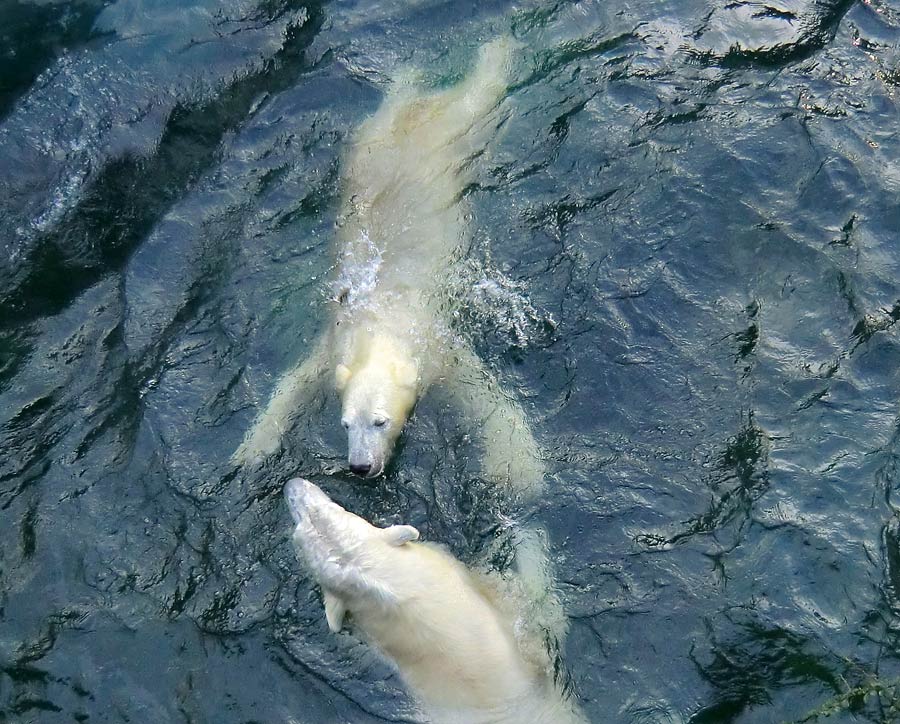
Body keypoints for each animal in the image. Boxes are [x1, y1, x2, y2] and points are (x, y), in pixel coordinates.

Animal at [232, 36, 544, 494]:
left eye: (379, 421)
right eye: (346, 424)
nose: (360, 466)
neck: (379, 319)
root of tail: (420, 109)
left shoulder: (436, 346)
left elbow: (484, 393)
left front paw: (517, 468)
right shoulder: (333, 346)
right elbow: (292, 384)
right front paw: (250, 450)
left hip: (460, 131)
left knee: (481, 94)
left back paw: (498, 50)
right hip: (368, 135)